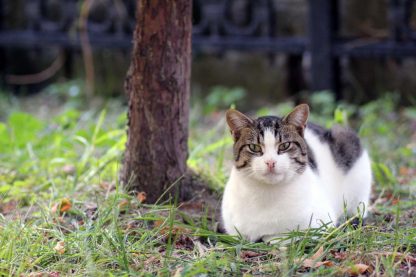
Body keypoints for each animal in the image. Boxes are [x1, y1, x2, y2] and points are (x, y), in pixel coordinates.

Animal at [223, 103, 372, 242]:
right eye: (254, 147)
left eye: (285, 145)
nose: (270, 162)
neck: (268, 194)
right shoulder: (234, 230)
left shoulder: (322, 223)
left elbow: (286, 235)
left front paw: (272, 237)